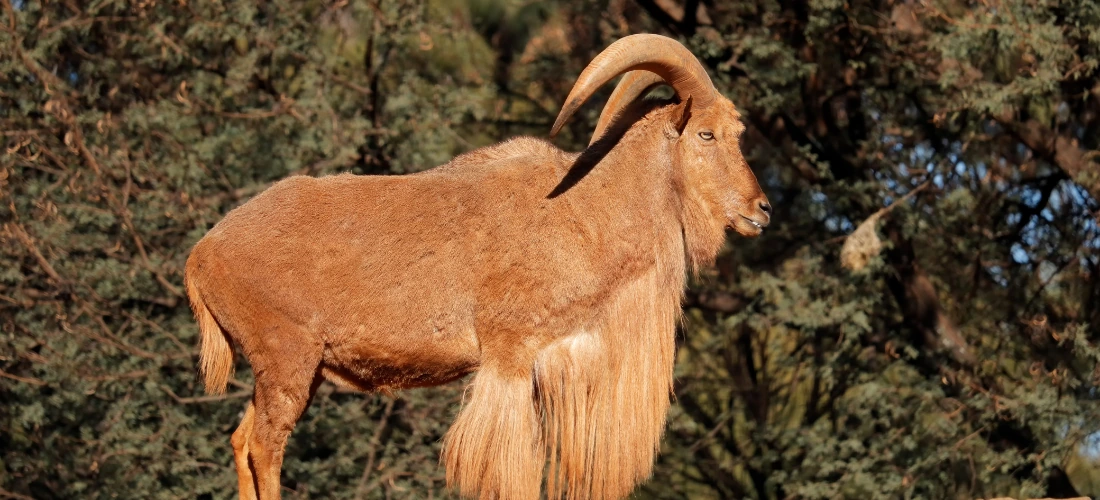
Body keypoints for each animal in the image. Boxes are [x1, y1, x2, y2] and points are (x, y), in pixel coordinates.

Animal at [183, 33, 771, 500]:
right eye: (706, 134)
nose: (761, 209)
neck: (584, 210)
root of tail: (202, 253)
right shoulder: (508, 357)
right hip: (286, 362)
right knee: (264, 448)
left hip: (292, 375)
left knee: (241, 441)